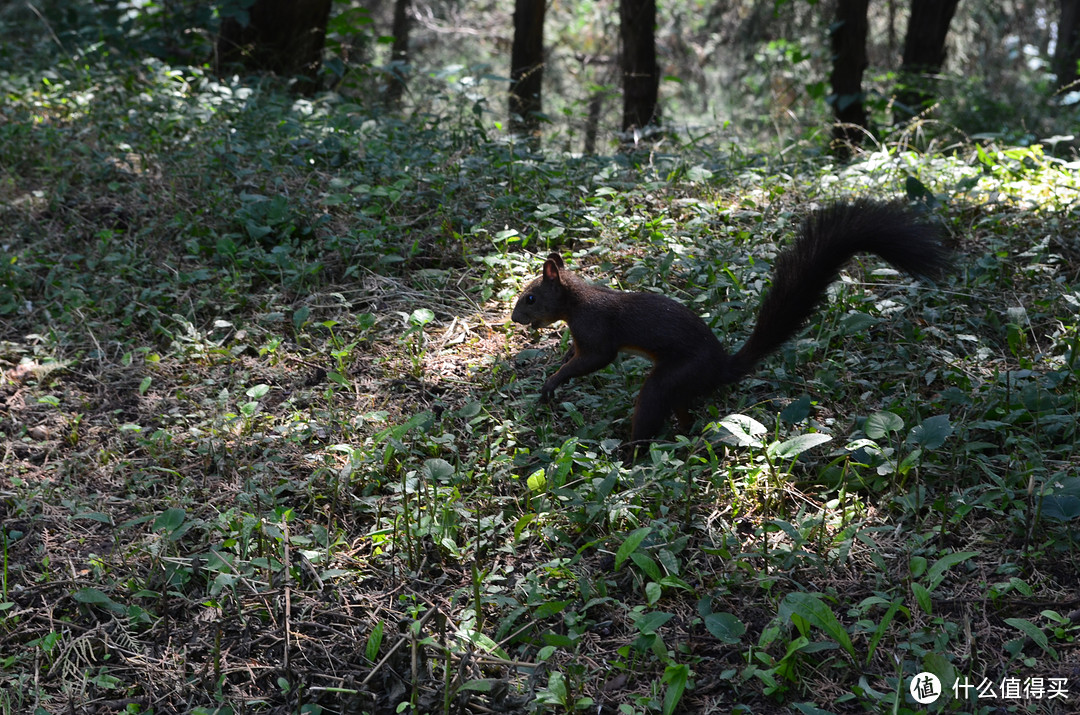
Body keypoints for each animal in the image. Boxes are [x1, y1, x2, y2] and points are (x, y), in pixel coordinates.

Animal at [511, 199, 946, 442]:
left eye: (531, 297)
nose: (516, 318)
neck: (576, 301)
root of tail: (722, 368)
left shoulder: (597, 332)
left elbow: (597, 360)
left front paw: (551, 383)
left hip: (673, 377)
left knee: (654, 404)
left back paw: (632, 454)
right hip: (681, 387)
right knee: (684, 412)